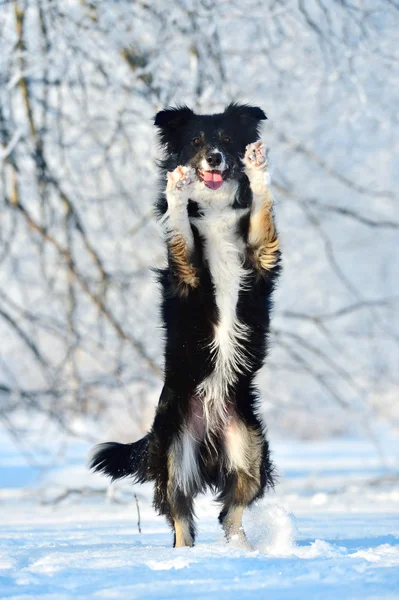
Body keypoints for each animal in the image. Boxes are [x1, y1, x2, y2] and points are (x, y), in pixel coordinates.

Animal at [89, 103, 282, 548]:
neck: (214, 208)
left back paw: (243, 551)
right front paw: (176, 187)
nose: (214, 158)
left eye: (226, 139)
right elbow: (179, 226)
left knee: (232, 511)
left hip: (250, 448)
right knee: (181, 518)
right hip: (176, 456)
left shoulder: (261, 255)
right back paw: (184, 558)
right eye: (195, 141)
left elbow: (262, 208)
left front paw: (257, 165)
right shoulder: (187, 271)